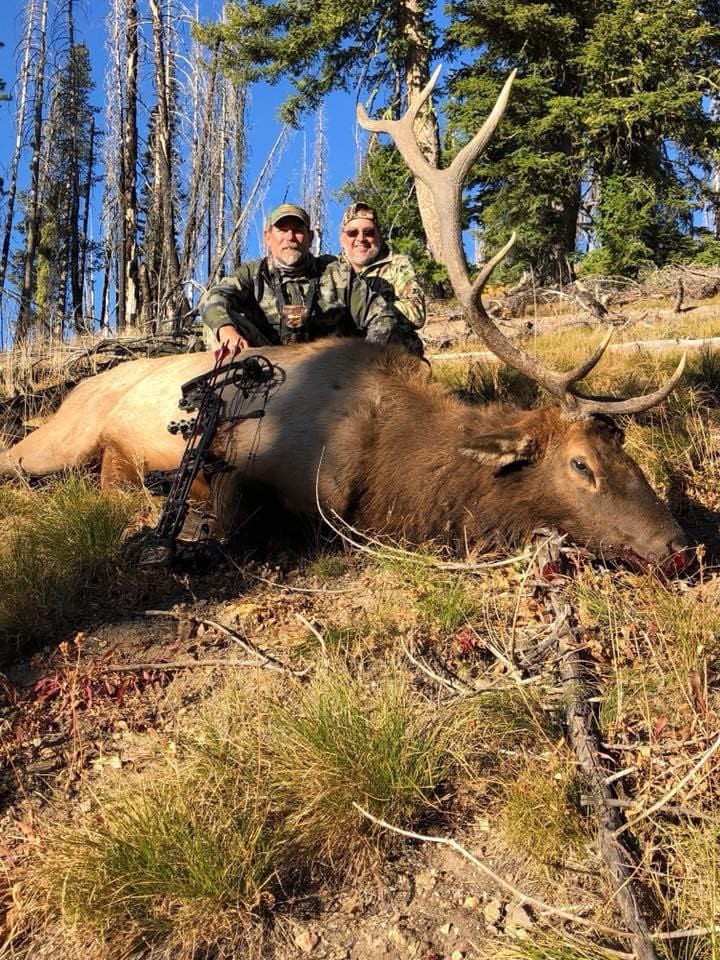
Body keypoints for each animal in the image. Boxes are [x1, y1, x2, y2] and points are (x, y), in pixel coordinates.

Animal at [0, 69, 688, 567]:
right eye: (580, 465)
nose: (681, 544)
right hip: (57, 441)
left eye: (626, 453)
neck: (388, 466)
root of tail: (75, 386)